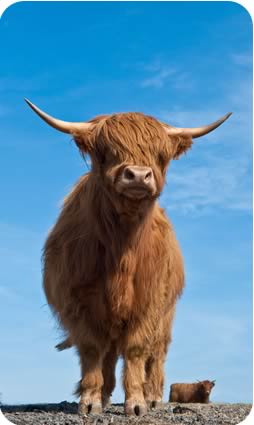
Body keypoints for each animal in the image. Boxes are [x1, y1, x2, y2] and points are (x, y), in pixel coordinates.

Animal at [25, 98, 230, 414]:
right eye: (104, 152)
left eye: (161, 155)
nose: (138, 175)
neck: (122, 250)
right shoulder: (80, 302)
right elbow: (93, 349)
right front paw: (90, 400)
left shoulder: (148, 303)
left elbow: (136, 349)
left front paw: (136, 403)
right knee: (109, 353)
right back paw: (106, 394)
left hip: (166, 317)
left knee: (156, 353)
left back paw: (153, 395)